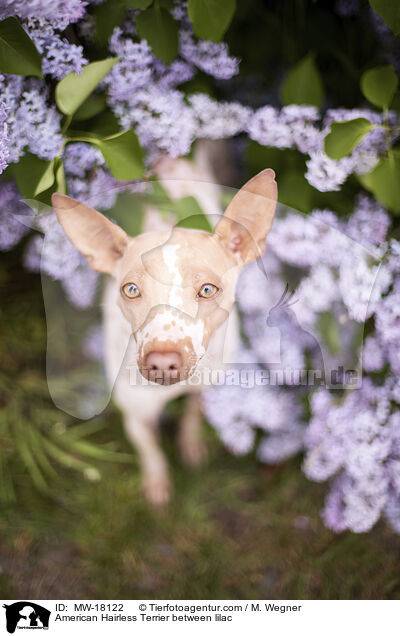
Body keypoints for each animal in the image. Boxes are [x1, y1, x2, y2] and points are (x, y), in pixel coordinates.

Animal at [51, 152, 276, 504]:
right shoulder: (136, 415)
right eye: (130, 290)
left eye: (208, 290)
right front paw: (157, 484)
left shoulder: (205, 386)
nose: (162, 361)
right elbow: (150, 451)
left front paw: (191, 442)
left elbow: (194, 413)